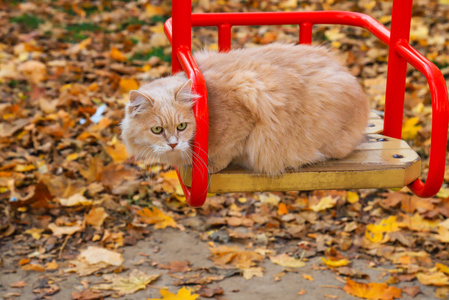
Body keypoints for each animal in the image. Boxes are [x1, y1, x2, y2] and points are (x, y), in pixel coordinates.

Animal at [119, 43, 368, 175]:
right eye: (157, 130)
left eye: (182, 126)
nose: (173, 143)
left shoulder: (244, 119)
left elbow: (225, 153)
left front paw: (210, 167)